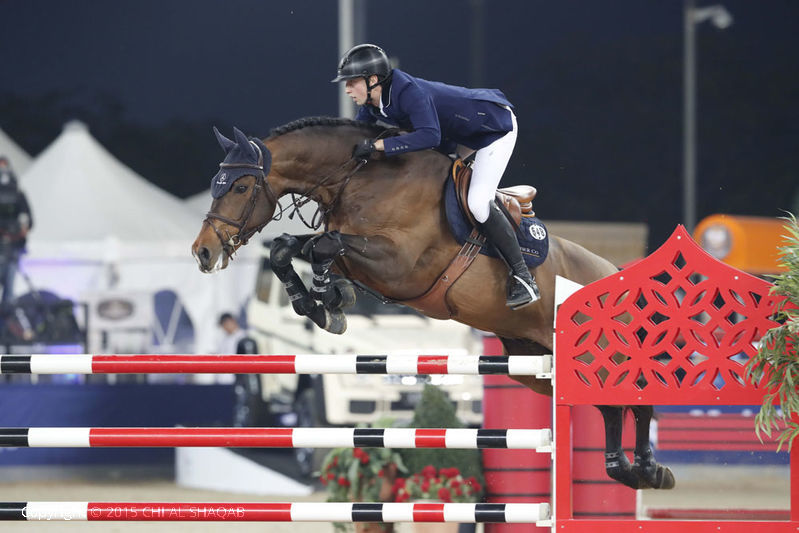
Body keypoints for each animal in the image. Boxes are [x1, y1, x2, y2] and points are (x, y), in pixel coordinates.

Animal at [192, 117, 676, 490]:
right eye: (214, 185)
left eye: (239, 187)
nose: (203, 253)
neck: (360, 177)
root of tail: (616, 272)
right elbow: (291, 247)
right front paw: (323, 303)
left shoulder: (402, 264)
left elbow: (323, 245)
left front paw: (328, 299)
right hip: (536, 362)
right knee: (610, 403)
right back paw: (632, 469)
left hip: (600, 353)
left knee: (633, 397)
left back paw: (646, 470)